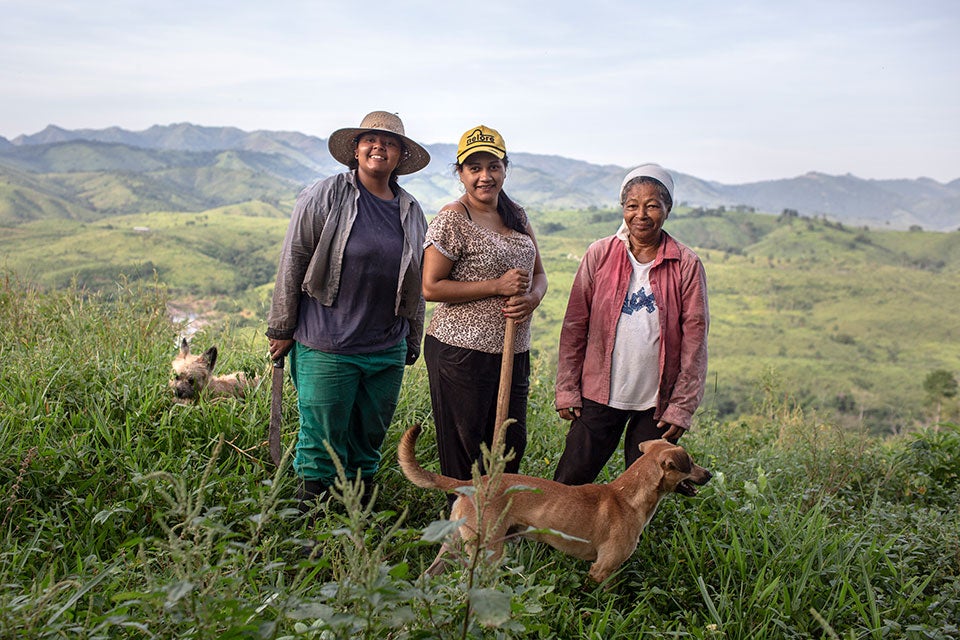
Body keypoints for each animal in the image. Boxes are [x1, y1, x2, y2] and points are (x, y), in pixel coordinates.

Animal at [394, 424, 708, 584]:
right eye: (691, 462)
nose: (708, 474)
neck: (627, 496)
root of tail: (470, 484)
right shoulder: (602, 570)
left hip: (454, 546)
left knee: (426, 576)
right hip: (487, 552)